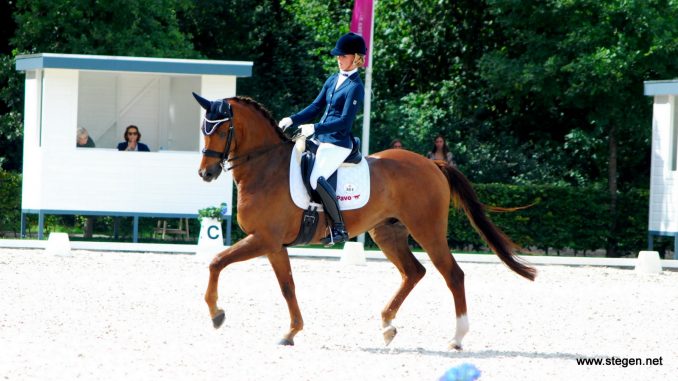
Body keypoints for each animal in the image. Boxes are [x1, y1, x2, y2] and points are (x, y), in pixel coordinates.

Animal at [195, 93, 536, 348]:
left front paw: (216, 314)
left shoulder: (264, 238)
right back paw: (387, 326)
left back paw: (457, 337)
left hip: (427, 230)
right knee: (414, 272)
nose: (205, 174)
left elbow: (216, 262)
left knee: (452, 274)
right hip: (387, 233)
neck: (265, 167)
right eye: (203, 129)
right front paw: (290, 332)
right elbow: (287, 286)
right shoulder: (274, 244)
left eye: (222, 131)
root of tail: (433, 164)